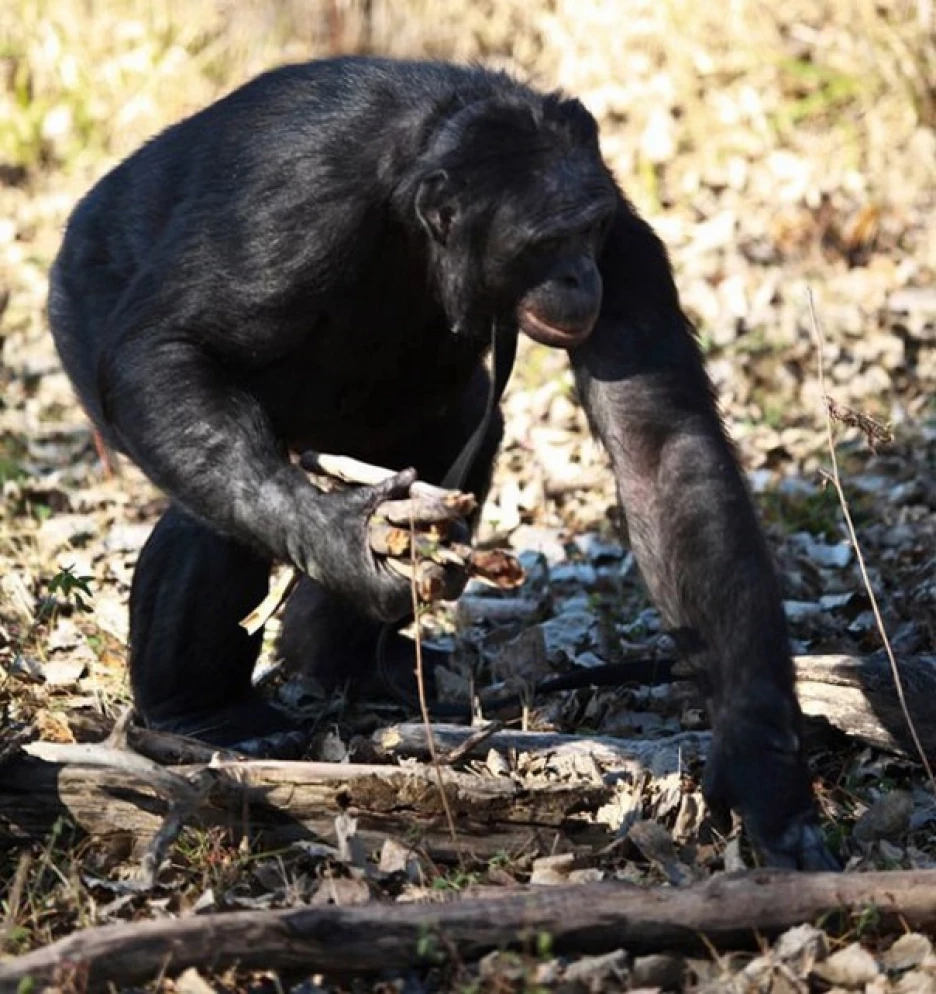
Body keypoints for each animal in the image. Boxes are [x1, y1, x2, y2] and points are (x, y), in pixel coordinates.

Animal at [45, 58, 832, 868]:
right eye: (548, 241)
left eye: (588, 231)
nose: (579, 275)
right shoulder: (288, 207)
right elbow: (169, 349)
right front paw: (341, 543)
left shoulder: (625, 242)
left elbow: (662, 448)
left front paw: (761, 766)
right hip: (83, 297)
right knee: (212, 487)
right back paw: (201, 711)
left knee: (460, 424)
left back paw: (341, 662)